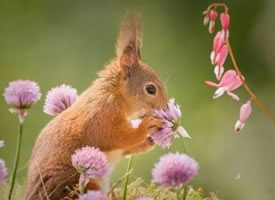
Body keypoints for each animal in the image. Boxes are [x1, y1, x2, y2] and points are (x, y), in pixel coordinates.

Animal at [24, 13, 169, 199]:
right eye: (151, 89)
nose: (165, 108)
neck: (115, 94)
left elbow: (126, 147)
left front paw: (150, 140)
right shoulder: (101, 114)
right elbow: (114, 135)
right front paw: (146, 127)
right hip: (78, 184)